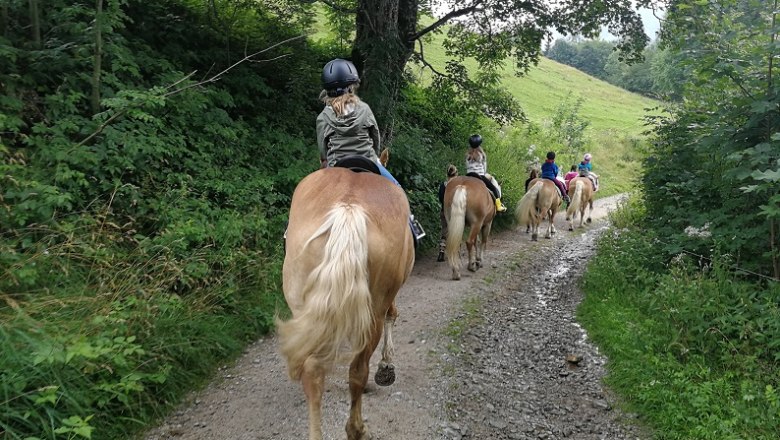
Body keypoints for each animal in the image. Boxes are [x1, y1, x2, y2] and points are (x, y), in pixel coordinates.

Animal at [278, 163, 418, 440]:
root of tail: (348, 208)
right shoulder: (388, 298)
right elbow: (393, 314)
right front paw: (386, 367)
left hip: (303, 308)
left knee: (314, 374)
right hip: (372, 314)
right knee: (358, 371)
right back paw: (357, 429)